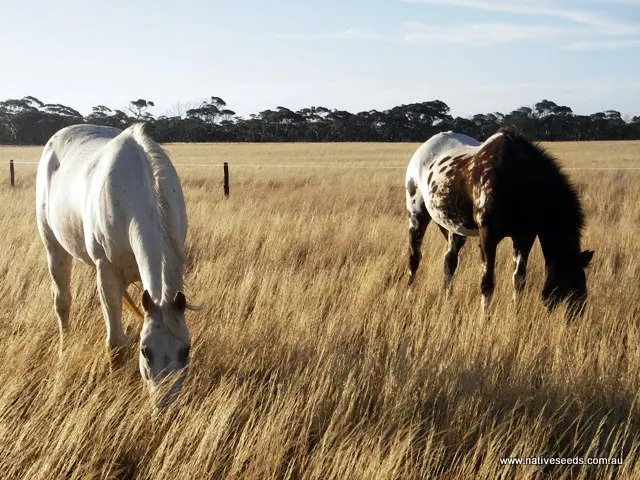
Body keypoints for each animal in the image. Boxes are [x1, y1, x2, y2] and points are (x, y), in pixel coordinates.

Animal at [36, 123, 197, 409]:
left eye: (186, 350)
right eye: (145, 351)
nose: (164, 406)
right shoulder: (107, 273)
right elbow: (116, 344)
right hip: (53, 247)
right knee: (62, 303)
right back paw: (63, 350)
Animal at [405, 129, 594, 315]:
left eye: (583, 288)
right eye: (568, 286)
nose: (574, 317)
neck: (514, 181)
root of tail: (423, 149)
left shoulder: (524, 237)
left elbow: (519, 279)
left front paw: (516, 314)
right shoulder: (488, 238)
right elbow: (487, 283)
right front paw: (484, 319)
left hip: (456, 228)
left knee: (449, 262)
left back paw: (447, 300)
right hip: (417, 217)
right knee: (414, 259)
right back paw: (410, 297)